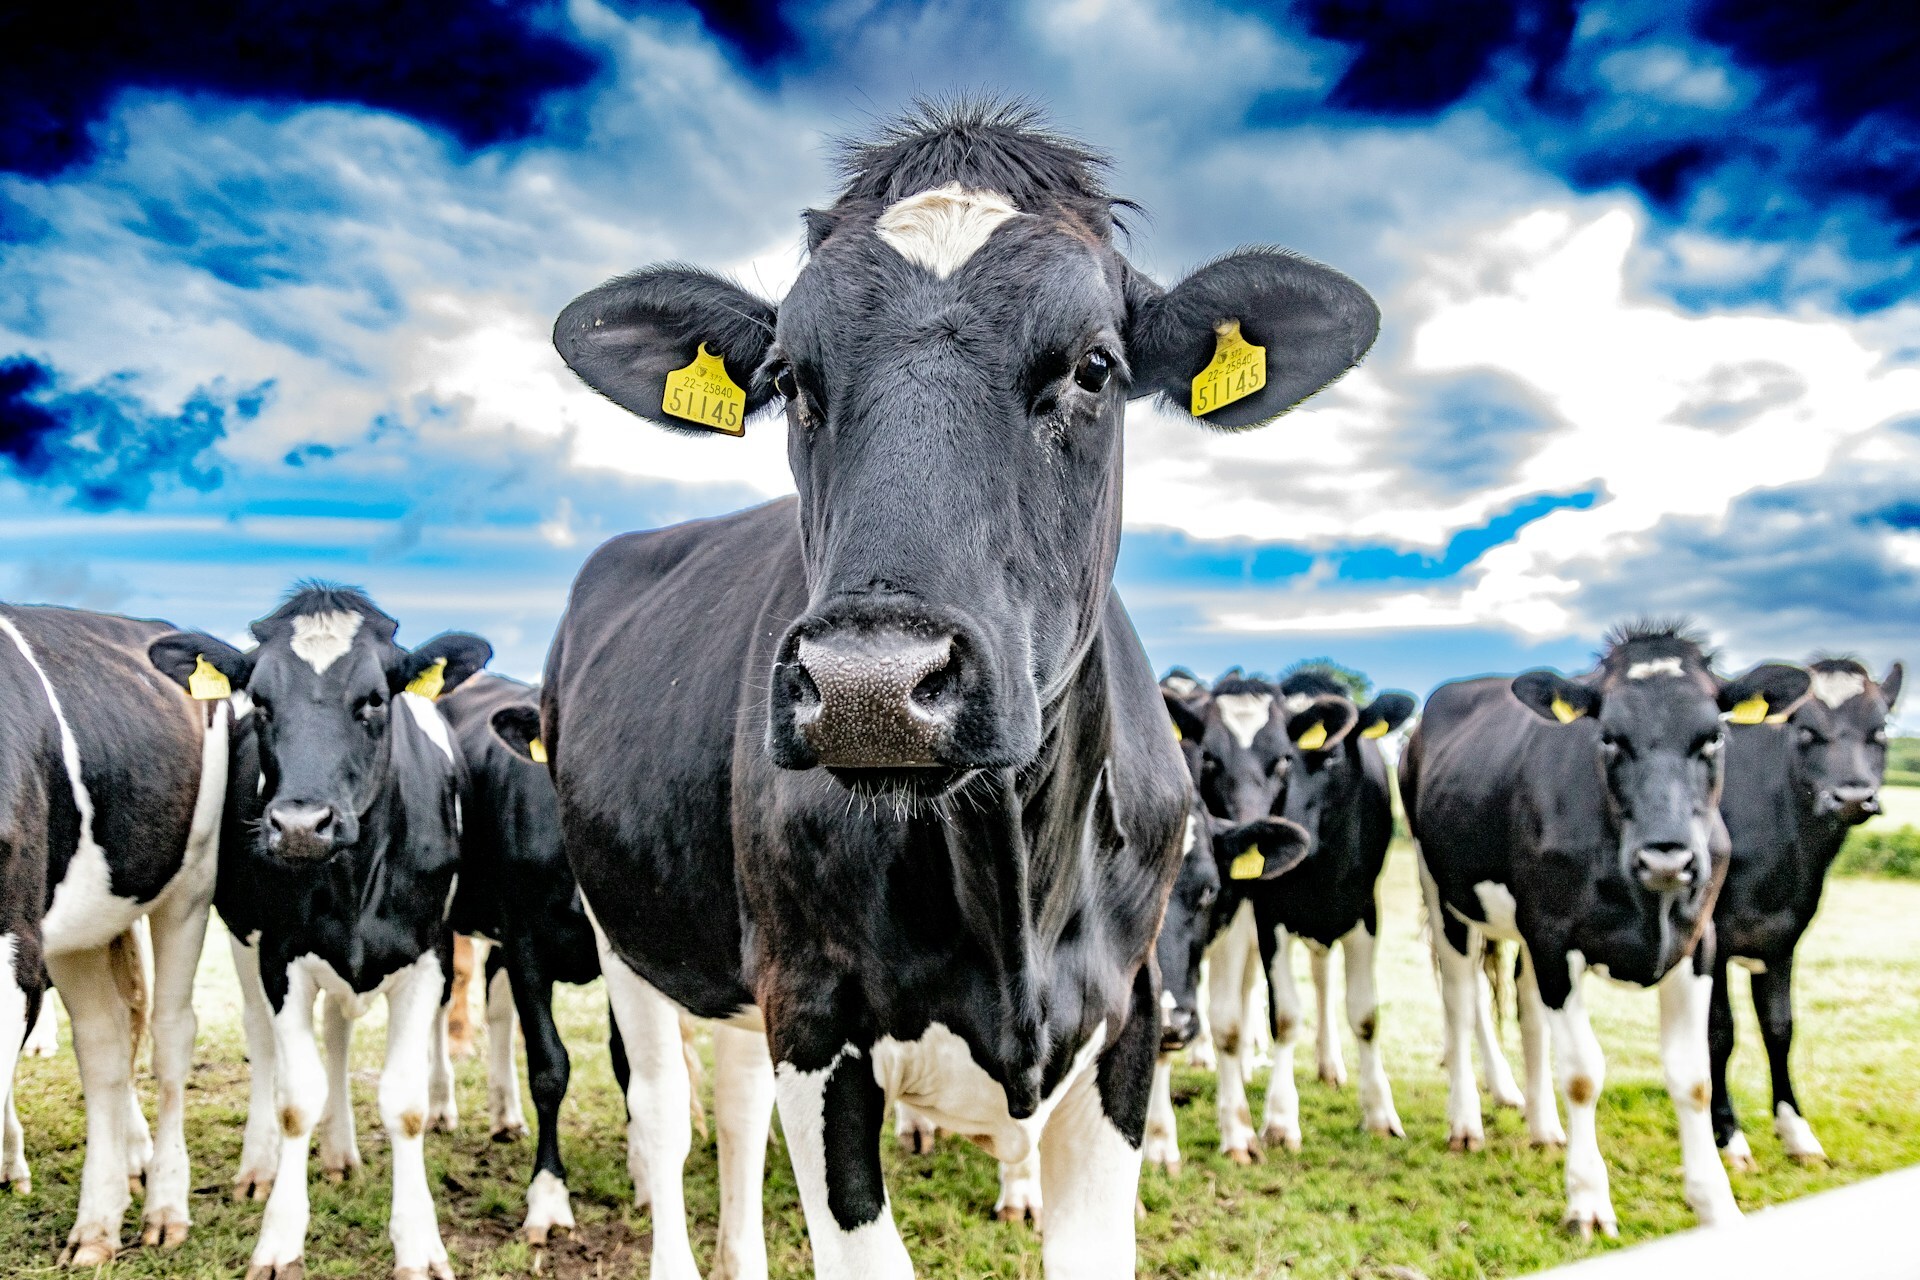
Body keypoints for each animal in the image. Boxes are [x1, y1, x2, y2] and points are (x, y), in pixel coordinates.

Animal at [0, 603, 228, 1265]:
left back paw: (165, 1208)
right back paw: (98, 1225)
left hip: (191, 883)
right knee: (104, 1039)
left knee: (170, 1031)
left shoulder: (12, 950)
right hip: (81, 923)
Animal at [147, 584, 491, 1280]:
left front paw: (419, 1245)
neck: (355, 880)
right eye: (260, 700)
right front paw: (280, 1238)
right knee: (265, 1040)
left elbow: (405, 1104)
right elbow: (295, 1097)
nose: (302, 825)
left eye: (375, 699)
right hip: (242, 935)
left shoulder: (429, 957)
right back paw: (260, 1165)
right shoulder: (280, 955)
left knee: (337, 1034)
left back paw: (339, 1151)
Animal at [540, 100, 1377, 1279]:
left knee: (736, 1107)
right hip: (626, 927)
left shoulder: (1124, 1021)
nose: (871, 685)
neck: (1012, 881)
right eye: (790, 378)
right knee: (665, 1114)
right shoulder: (815, 1014)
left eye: (1093, 368)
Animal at [1399, 622, 1809, 1237]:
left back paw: (1545, 1128)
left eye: (1713, 737)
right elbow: (1582, 1075)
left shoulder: (1698, 943)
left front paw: (1716, 1202)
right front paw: (1588, 1201)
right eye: (1610, 738)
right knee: (1460, 1000)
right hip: (1446, 896)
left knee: (1527, 1014)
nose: (1667, 858)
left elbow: (1693, 1075)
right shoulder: (1556, 938)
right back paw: (1466, 1122)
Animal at [1711, 656, 1903, 1170]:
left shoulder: (1783, 937)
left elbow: (1780, 1029)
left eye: (1880, 731)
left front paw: (1796, 1133)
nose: (1853, 797)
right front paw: (1729, 1137)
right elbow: (1721, 1033)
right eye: (1806, 731)